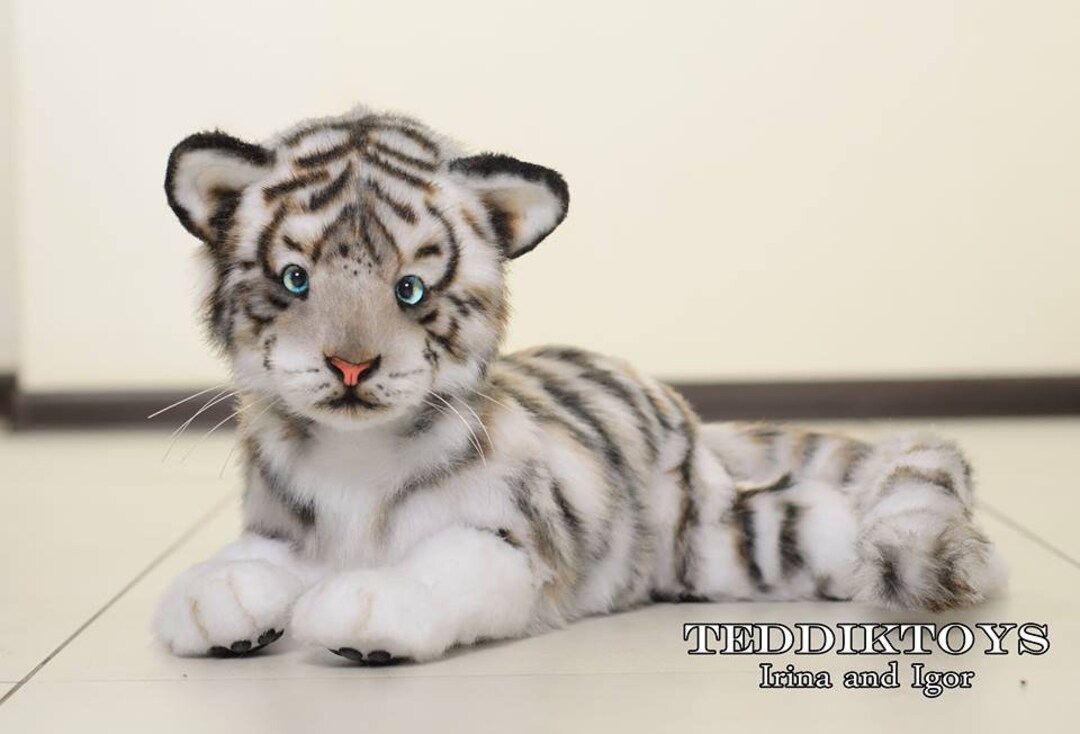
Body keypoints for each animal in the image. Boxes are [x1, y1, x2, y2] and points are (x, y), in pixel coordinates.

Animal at [154, 105, 1006, 664]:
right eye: (295, 279)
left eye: (411, 289)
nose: (352, 366)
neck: (352, 454)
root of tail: (677, 406)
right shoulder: (283, 526)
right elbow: (242, 561)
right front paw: (214, 598)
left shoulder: (510, 540)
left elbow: (437, 566)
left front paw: (364, 608)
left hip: (740, 540)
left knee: (846, 514)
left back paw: (970, 564)